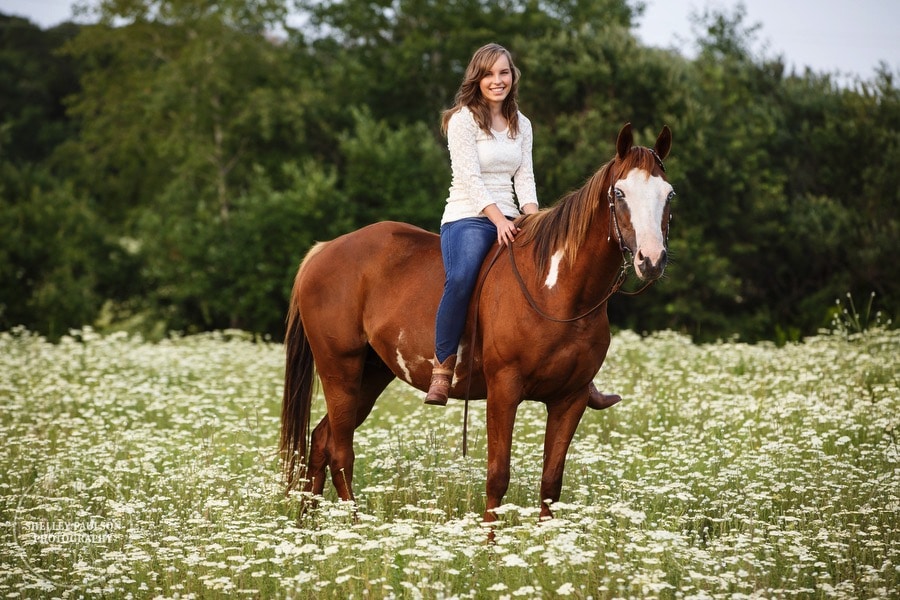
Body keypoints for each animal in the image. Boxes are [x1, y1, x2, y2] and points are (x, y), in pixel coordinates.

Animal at [282, 122, 676, 520]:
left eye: (669, 195)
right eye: (620, 193)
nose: (651, 259)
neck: (556, 290)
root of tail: (323, 250)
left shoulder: (571, 399)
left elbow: (551, 484)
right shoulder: (503, 392)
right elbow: (497, 476)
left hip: (372, 374)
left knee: (321, 441)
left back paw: (310, 529)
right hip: (340, 372)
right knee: (341, 453)